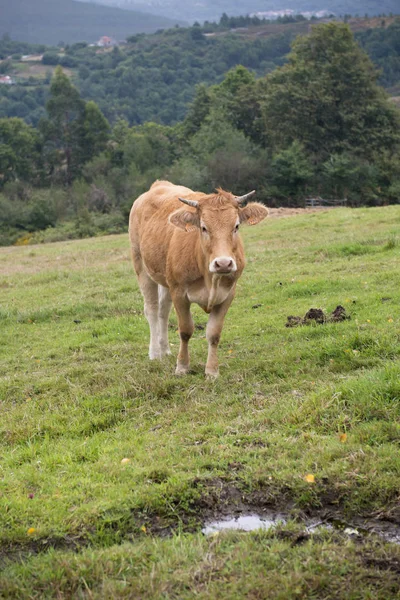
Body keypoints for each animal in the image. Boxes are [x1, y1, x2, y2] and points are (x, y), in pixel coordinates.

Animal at [130, 180, 270, 378]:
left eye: (236, 226)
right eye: (204, 227)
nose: (223, 263)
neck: (210, 279)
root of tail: (159, 184)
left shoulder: (228, 295)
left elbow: (214, 333)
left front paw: (212, 371)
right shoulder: (179, 292)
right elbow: (185, 330)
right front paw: (182, 366)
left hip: (165, 279)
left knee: (163, 311)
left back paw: (165, 350)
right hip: (141, 266)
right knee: (152, 310)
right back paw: (155, 353)